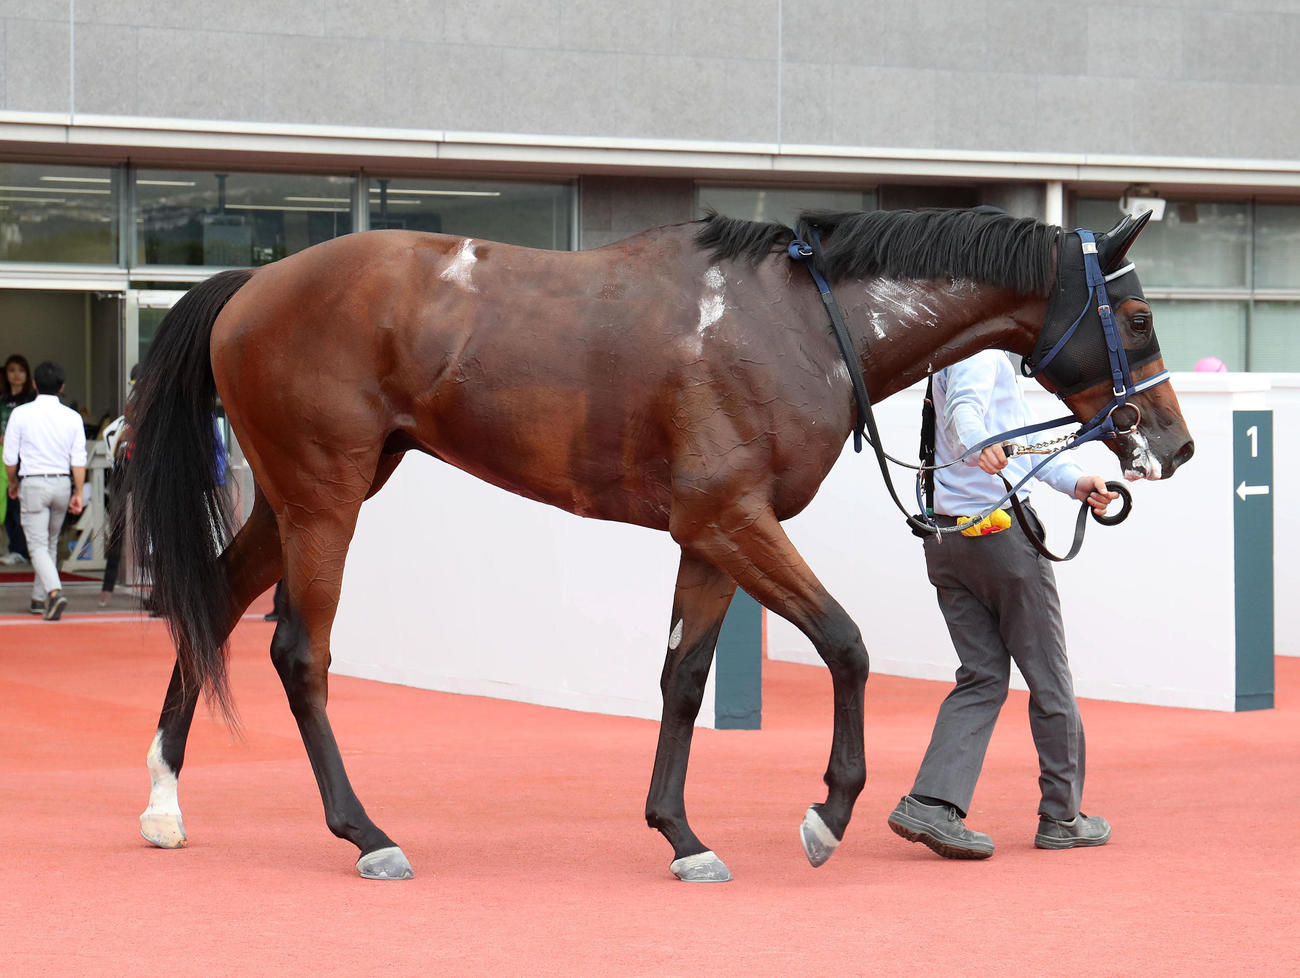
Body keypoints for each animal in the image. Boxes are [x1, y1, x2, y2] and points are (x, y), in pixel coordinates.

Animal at [121, 206, 1194, 883]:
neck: (801, 324)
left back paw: (165, 804)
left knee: (214, 604)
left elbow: (683, 679)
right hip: (324, 499)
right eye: (1139, 317)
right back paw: (365, 833)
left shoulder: (710, 539)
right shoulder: (733, 518)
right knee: (298, 653)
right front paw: (827, 815)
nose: (1174, 443)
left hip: (300, 499)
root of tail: (253, 284)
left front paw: (680, 834)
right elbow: (846, 644)